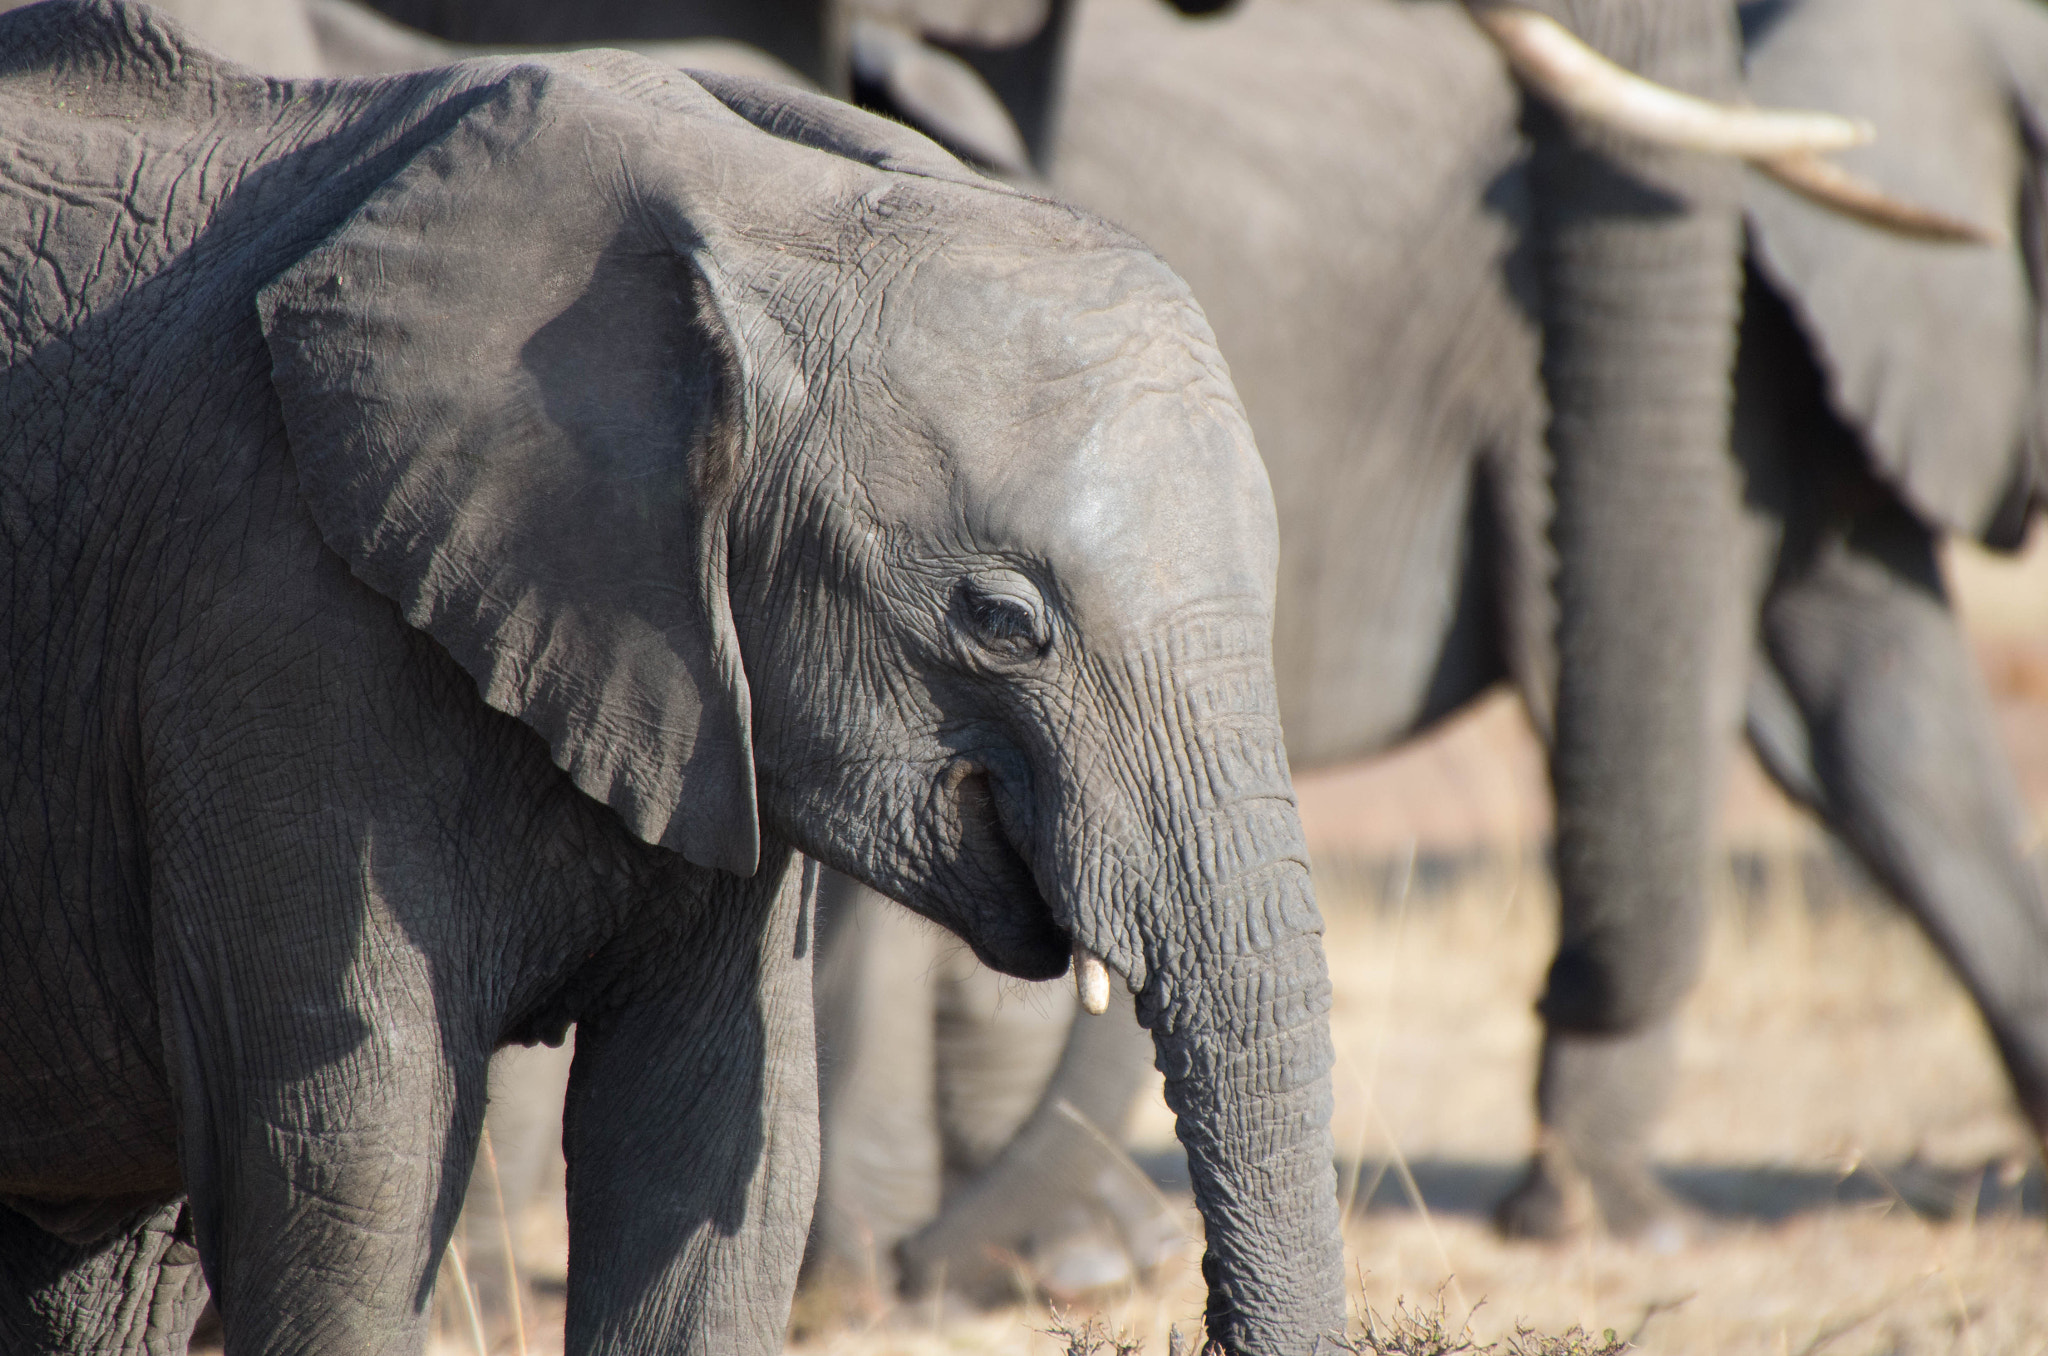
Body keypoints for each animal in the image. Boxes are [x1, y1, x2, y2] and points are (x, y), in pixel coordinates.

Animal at [0, 5, 1343, 1351]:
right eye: (1003, 620)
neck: (773, 206)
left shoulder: (708, 697)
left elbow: (712, 1157)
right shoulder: (272, 621)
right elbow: (345, 1169)